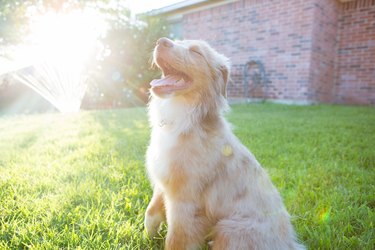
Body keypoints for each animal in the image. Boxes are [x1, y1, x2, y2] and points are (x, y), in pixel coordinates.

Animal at [144, 37, 306, 250]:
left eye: (196, 52)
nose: (161, 41)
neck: (187, 120)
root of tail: (288, 244)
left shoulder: (184, 202)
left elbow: (176, 240)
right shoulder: (163, 182)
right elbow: (151, 211)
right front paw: (149, 234)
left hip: (230, 229)